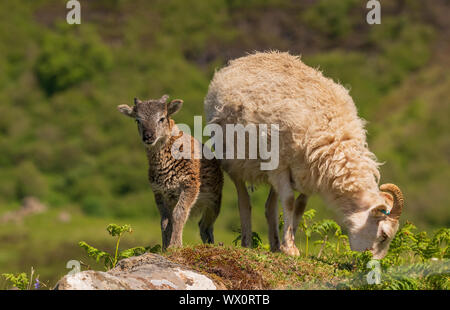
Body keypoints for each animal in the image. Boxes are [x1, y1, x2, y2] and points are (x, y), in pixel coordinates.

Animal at [118, 95, 223, 251]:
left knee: (205, 226)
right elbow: (165, 221)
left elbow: (179, 214)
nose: (148, 136)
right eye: (137, 120)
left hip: (214, 200)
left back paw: (210, 245)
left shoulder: (190, 185)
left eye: (162, 118)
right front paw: (164, 247)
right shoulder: (159, 192)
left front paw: (175, 245)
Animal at [204, 51, 404, 260]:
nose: (371, 265)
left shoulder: (311, 174)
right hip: (234, 161)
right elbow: (289, 202)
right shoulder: (281, 166)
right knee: (244, 201)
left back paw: (275, 244)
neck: (335, 139)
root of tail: (248, 57)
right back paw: (247, 242)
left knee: (270, 206)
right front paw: (290, 248)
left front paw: (288, 243)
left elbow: (299, 207)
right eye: (383, 235)